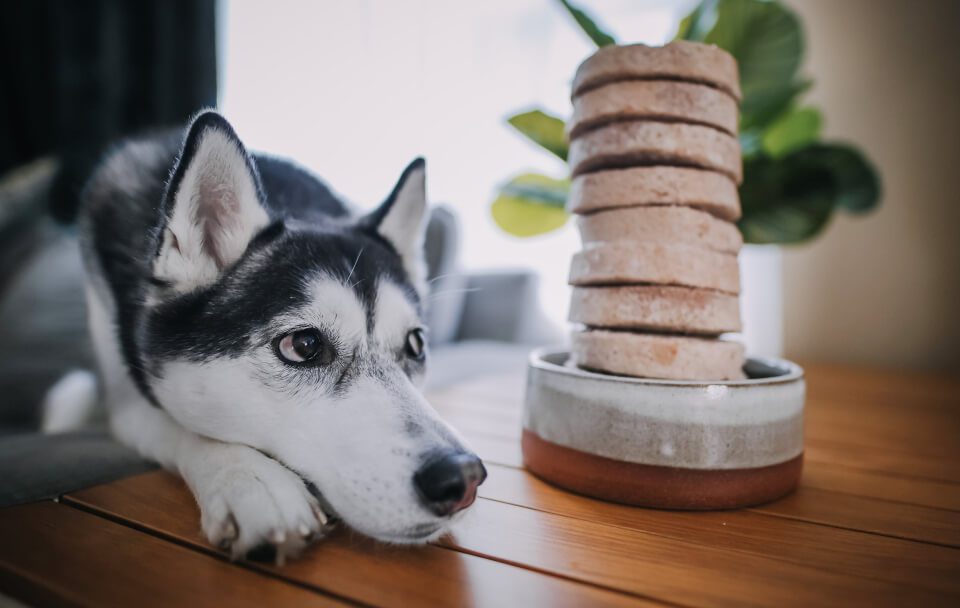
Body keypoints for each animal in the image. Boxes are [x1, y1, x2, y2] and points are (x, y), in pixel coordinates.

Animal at [79, 110, 488, 560]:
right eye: (304, 345)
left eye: (415, 345)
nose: (462, 477)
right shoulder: (126, 401)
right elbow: (182, 425)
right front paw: (251, 480)